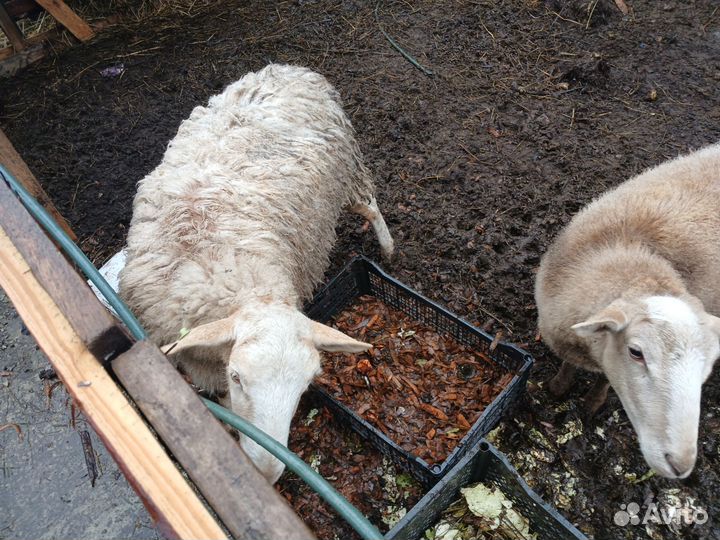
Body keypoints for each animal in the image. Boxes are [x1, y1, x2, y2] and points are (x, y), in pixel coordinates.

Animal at [117, 64, 395, 483]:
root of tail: (290, 69)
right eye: (236, 377)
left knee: (370, 206)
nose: (265, 470)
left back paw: (388, 247)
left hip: (347, 173)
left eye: (306, 385)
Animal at [535, 142, 720, 479]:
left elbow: (603, 381)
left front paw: (592, 404)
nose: (681, 465)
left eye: (711, 364)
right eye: (636, 352)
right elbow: (568, 367)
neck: (635, 253)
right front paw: (557, 388)